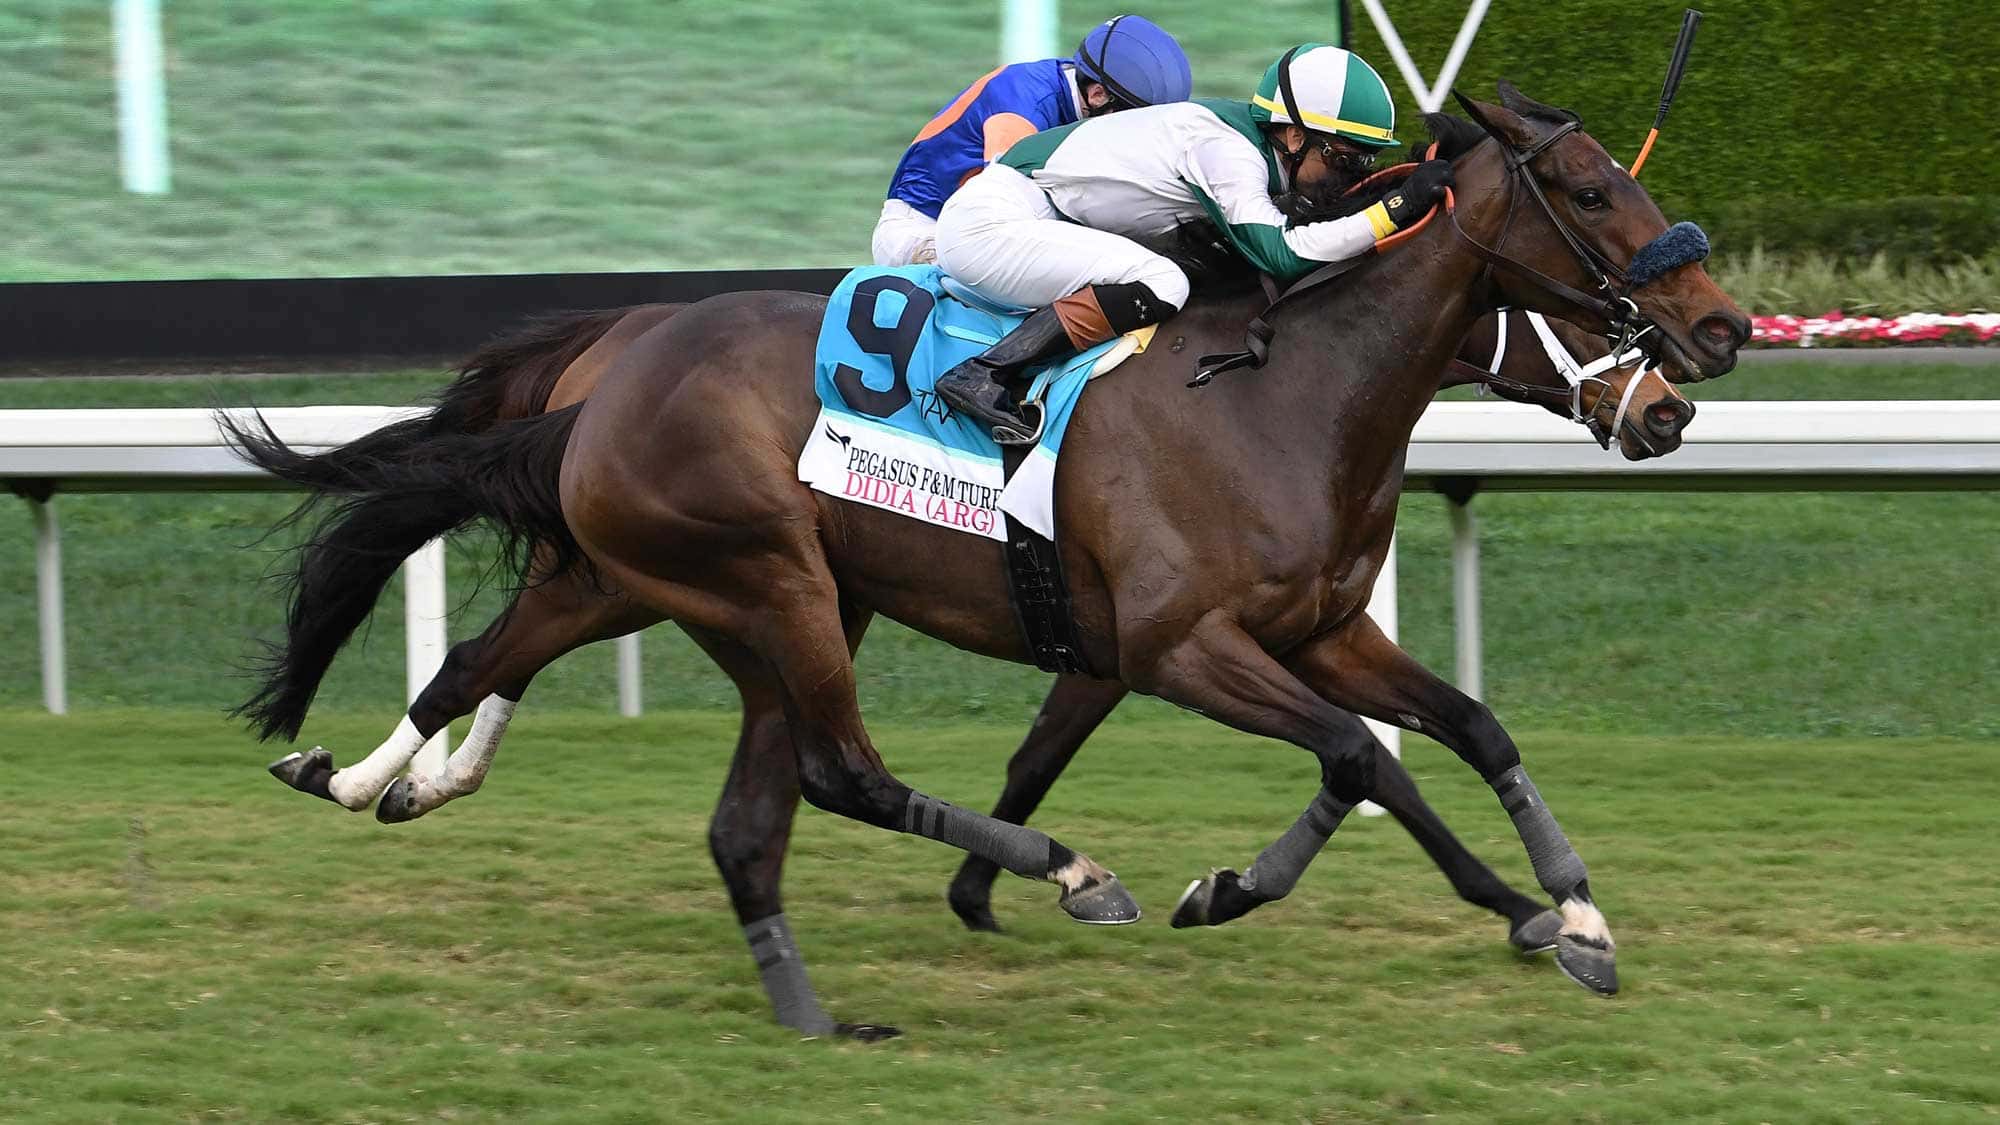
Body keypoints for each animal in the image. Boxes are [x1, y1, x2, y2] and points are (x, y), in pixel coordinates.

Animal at [232, 84, 1747, 1039]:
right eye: (1592, 189)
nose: (1712, 342)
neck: (1283, 393)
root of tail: (615, 364)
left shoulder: (1317, 630)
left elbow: (1463, 729)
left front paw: (1575, 909)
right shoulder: (1179, 646)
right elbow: (1361, 759)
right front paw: (1506, 914)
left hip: (652, 578)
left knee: (504, 668)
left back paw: (362, 775)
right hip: (773, 582)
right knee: (835, 767)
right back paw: (1068, 872)